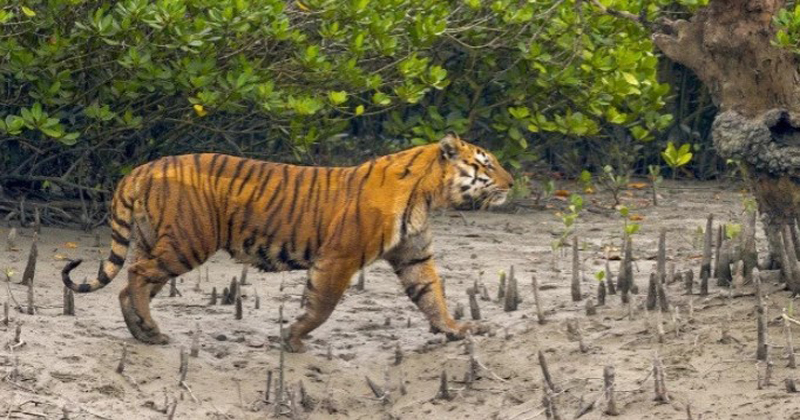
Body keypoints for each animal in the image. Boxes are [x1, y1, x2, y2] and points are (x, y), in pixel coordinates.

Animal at [61, 134, 512, 352]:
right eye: (486, 163)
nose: (512, 183)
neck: (427, 195)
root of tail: (139, 170)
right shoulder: (339, 257)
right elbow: (322, 305)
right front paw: (294, 338)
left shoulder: (413, 255)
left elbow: (431, 295)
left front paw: (456, 330)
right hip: (188, 242)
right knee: (136, 276)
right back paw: (152, 331)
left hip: (155, 241)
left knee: (128, 285)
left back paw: (142, 335)